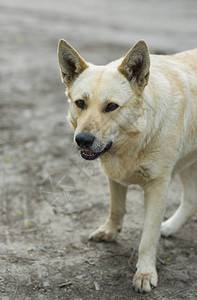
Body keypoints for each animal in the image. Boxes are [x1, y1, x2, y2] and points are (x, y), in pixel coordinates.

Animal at [57, 39, 197, 292]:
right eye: (80, 103)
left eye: (111, 106)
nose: (82, 139)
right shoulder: (114, 176)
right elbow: (117, 209)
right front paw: (110, 232)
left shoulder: (158, 186)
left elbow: (147, 238)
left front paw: (145, 273)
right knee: (191, 200)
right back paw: (170, 227)